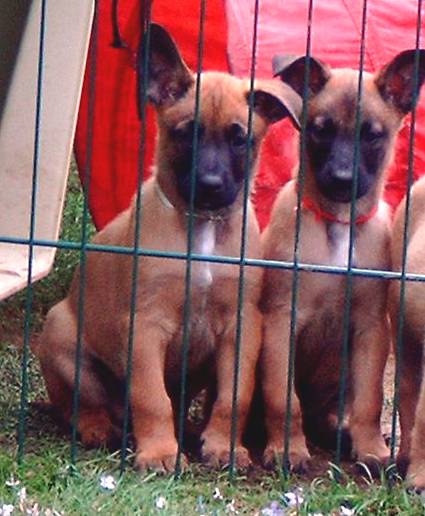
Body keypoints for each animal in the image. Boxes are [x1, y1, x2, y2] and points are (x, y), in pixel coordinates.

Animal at [35, 23, 301, 472]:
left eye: (240, 140)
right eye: (186, 132)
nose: (210, 186)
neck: (202, 229)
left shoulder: (241, 327)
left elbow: (233, 396)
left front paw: (223, 447)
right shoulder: (145, 326)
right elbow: (150, 397)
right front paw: (160, 452)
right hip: (61, 337)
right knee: (79, 404)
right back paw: (97, 428)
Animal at [259, 49, 425, 472]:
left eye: (372, 135)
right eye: (320, 130)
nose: (340, 178)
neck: (338, 223)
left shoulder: (370, 328)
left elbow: (368, 400)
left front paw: (371, 449)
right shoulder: (282, 320)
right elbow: (283, 397)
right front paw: (288, 450)